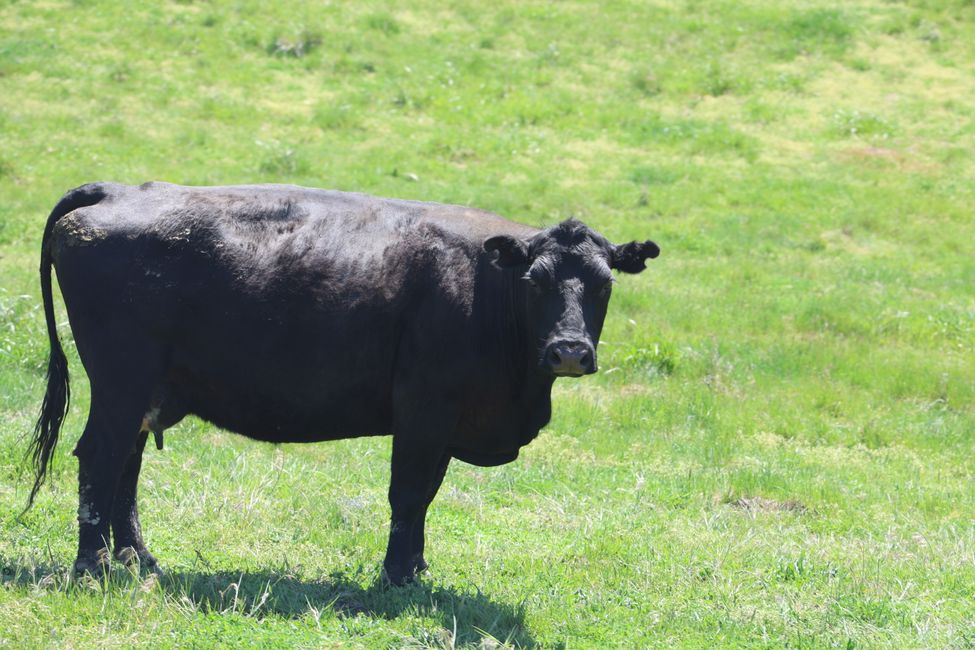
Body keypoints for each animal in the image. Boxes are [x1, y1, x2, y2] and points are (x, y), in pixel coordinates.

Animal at [24, 181, 664, 584]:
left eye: (605, 283)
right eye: (535, 281)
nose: (569, 350)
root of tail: (121, 189)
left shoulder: (444, 422)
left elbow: (426, 496)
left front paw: (416, 569)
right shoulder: (423, 408)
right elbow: (408, 492)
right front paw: (397, 578)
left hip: (144, 390)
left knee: (125, 467)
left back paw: (138, 561)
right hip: (121, 381)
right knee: (101, 459)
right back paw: (93, 569)